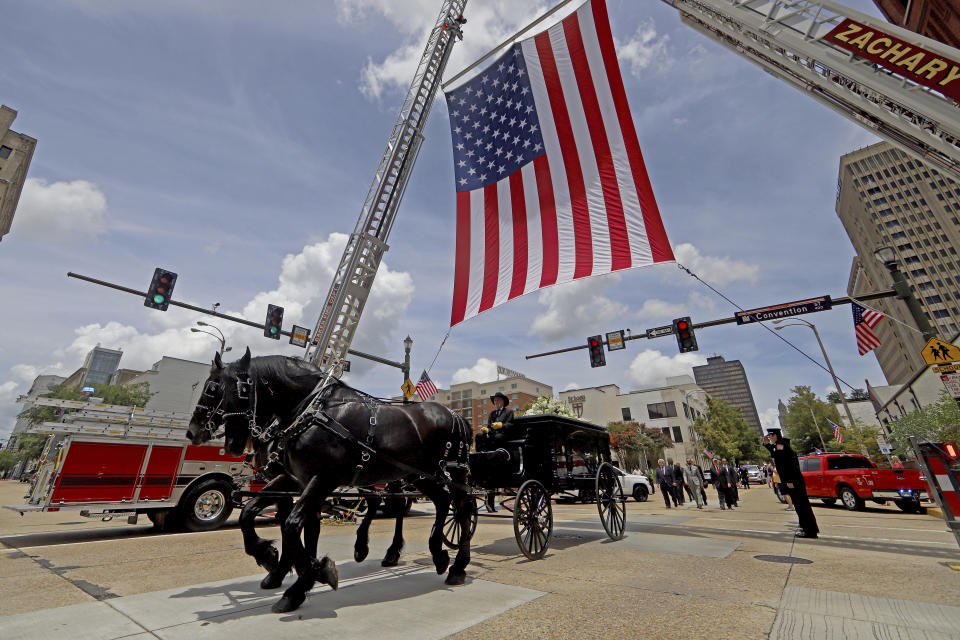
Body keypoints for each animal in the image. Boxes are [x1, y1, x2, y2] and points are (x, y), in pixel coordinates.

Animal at [186, 348, 474, 612]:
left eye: (214, 389)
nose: (192, 432)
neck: (312, 411)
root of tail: (456, 415)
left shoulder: (321, 480)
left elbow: (292, 525)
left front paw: (309, 575)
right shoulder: (294, 480)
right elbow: (253, 514)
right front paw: (275, 563)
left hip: (453, 473)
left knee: (462, 509)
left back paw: (457, 566)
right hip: (416, 474)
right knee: (439, 501)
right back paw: (434, 555)